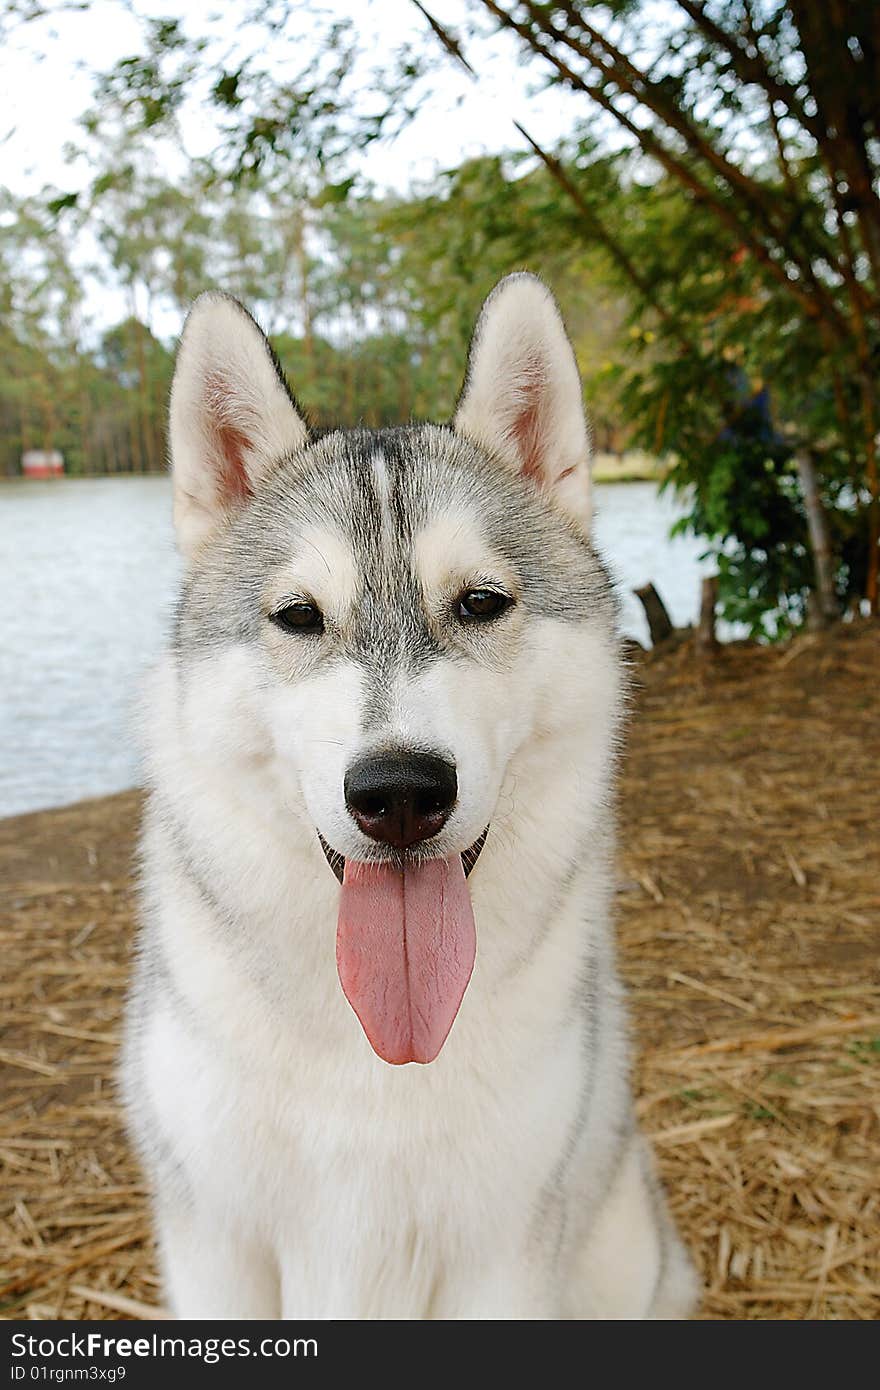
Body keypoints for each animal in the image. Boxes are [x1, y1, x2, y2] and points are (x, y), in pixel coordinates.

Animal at [120, 273, 697, 1323]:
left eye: (481, 603)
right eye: (298, 617)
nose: (398, 792)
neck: (377, 1045)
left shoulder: (502, 1256)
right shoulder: (215, 1245)